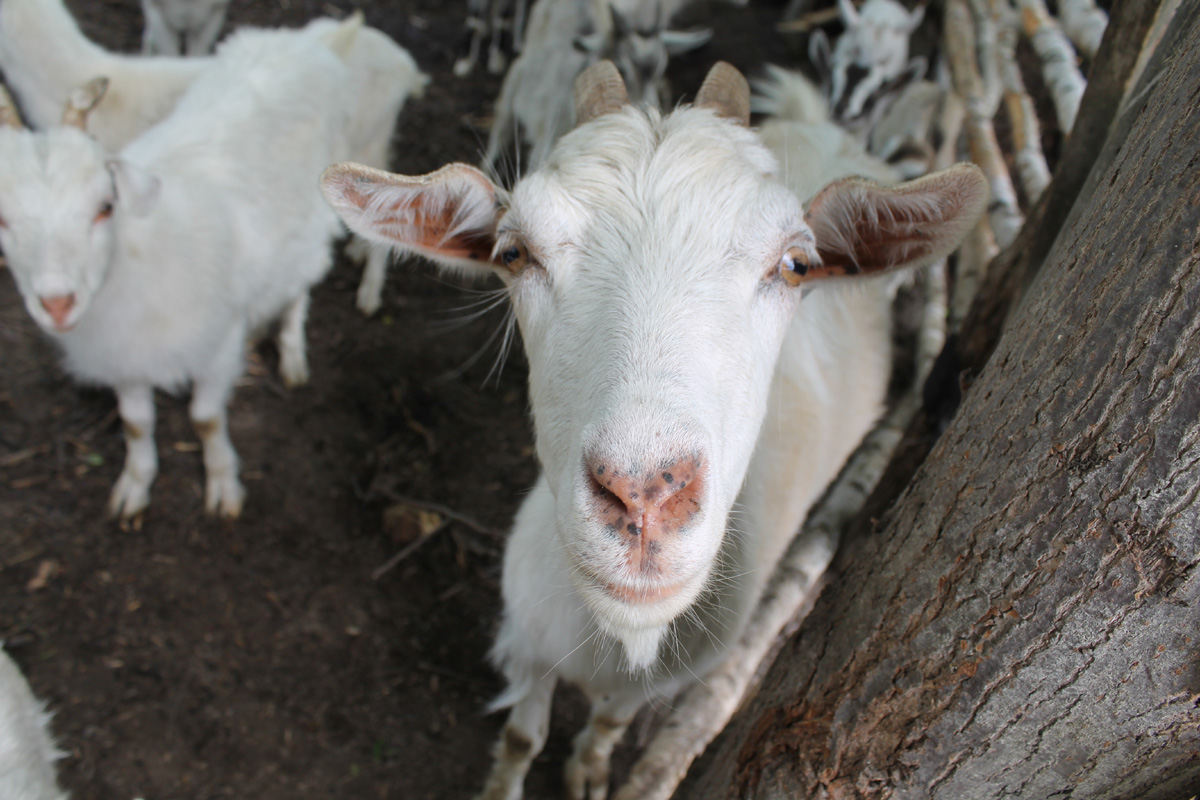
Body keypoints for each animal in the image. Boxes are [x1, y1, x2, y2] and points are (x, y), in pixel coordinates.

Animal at [0, 20, 358, 520]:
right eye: (1, 218)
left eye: (105, 206)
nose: (56, 303)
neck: (138, 258)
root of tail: (307, 44)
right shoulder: (125, 356)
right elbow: (135, 422)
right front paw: (134, 485)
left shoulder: (216, 342)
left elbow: (205, 418)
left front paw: (223, 484)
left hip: (315, 219)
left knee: (299, 287)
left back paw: (291, 352)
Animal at [321, 60, 986, 799]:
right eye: (514, 252)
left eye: (795, 265)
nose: (644, 497)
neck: (620, 639)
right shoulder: (529, 638)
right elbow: (522, 737)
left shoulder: (666, 678)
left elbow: (610, 725)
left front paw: (588, 771)